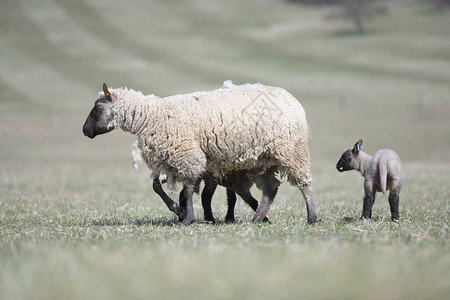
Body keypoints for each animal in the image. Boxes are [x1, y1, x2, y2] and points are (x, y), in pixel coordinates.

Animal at [83, 82, 316, 225]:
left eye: (97, 107)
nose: (84, 131)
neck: (151, 116)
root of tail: (291, 97)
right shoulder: (174, 162)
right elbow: (159, 187)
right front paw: (180, 211)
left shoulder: (188, 157)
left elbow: (187, 190)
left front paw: (186, 219)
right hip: (263, 159)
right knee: (270, 189)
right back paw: (258, 218)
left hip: (291, 151)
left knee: (303, 184)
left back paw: (311, 217)